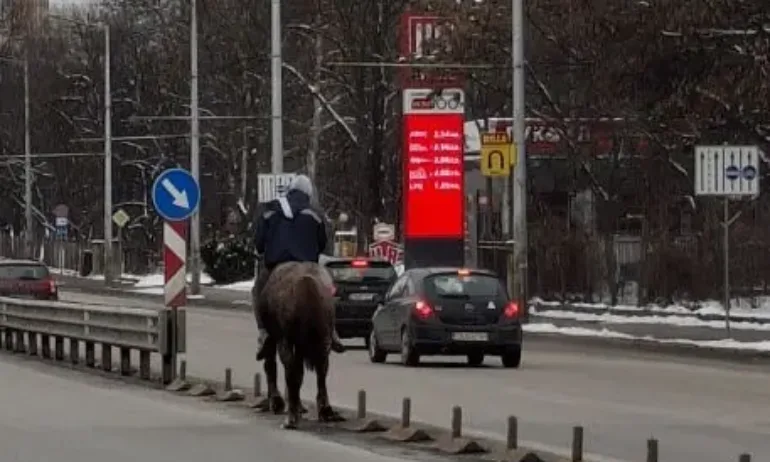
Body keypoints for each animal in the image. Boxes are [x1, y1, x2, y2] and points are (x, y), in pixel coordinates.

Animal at [258, 262, 342, 428]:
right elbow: (303, 374)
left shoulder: (281, 339)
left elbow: (278, 369)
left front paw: (279, 404)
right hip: (323, 340)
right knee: (321, 372)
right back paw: (325, 411)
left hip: (286, 340)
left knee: (290, 372)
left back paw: (290, 418)